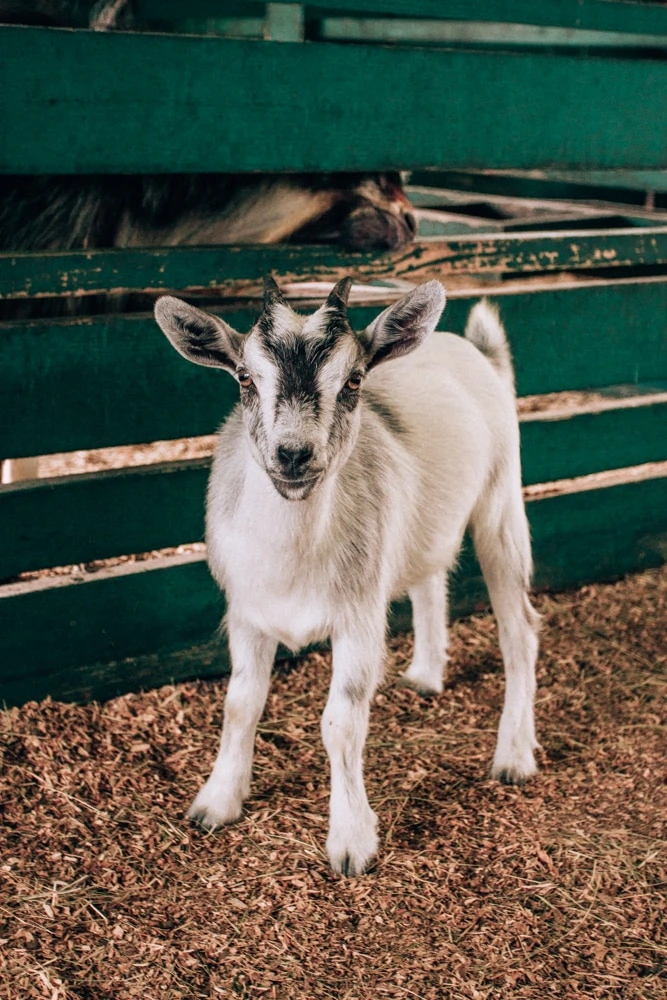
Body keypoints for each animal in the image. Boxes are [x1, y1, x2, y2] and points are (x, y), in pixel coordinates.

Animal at [154, 276, 540, 876]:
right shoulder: (246, 614)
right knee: (430, 578)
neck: (293, 563)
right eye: (244, 377)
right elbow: (240, 704)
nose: (293, 454)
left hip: (501, 501)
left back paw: (514, 756)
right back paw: (425, 675)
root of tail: (475, 351)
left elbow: (342, 722)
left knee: (518, 629)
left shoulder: (359, 617)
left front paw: (352, 841)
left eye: (354, 379)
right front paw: (216, 803)